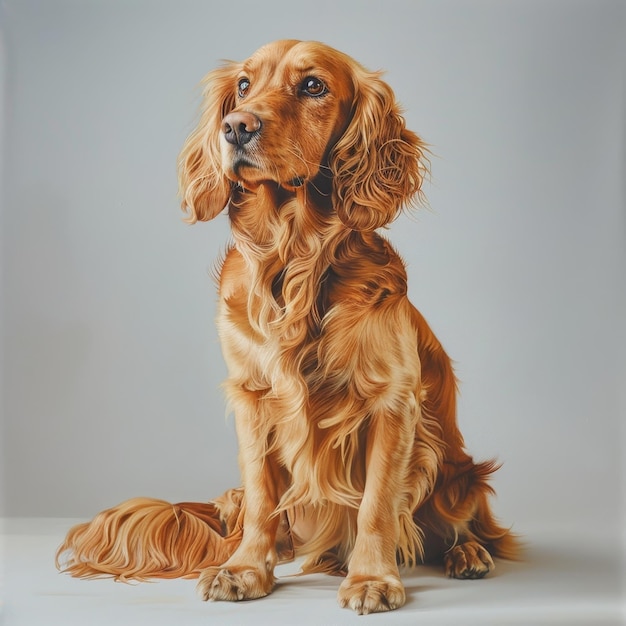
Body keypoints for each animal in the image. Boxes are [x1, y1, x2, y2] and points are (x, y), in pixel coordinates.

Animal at [57, 41, 516, 612]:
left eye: (313, 86)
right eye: (244, 86)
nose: (235, 127)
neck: (293, 257)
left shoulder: (392, 402)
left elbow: (377, 504)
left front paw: (371, 578)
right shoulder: (254, 397)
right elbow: (260, 497)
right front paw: (246, 569)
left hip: (453, 469)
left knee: (456, 523)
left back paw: (466, 552)